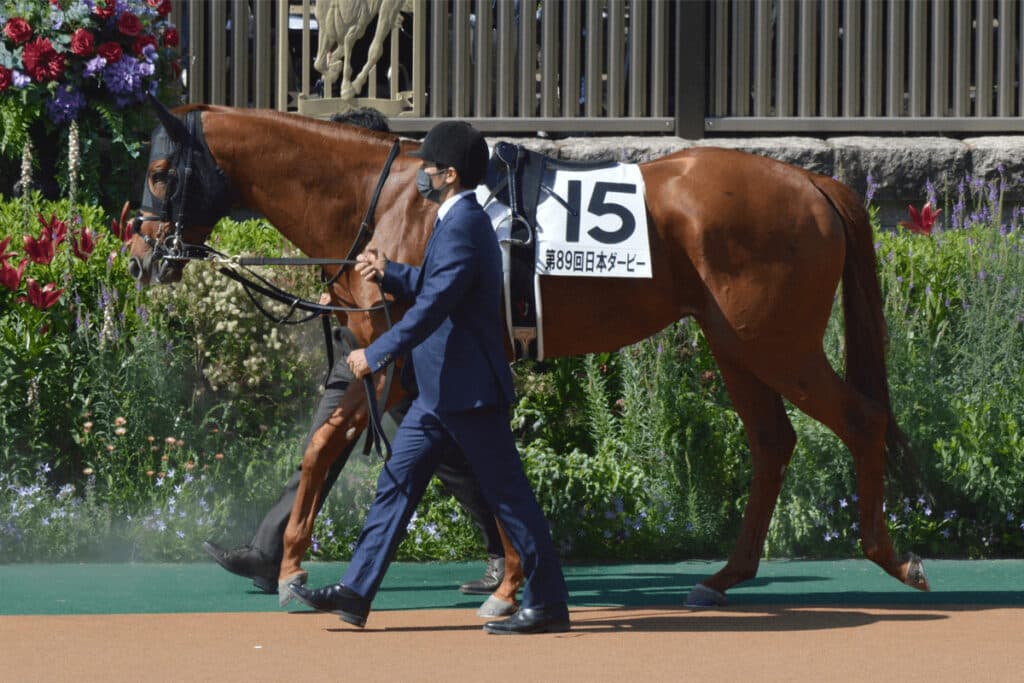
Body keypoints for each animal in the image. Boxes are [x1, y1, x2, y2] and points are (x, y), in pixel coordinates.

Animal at [128, 102, 930, 611]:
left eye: (162, 174)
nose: (139, 256)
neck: (386, 199)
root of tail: (813, 182)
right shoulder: (394, 358)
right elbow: (331, 444)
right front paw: (285, 563)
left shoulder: (397, 353)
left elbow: (333, 445)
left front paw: (293, 568)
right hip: (734, 344)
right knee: (772, 443)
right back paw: (723, 576)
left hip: (776, 342)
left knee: (860, 421)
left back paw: (894, 558)